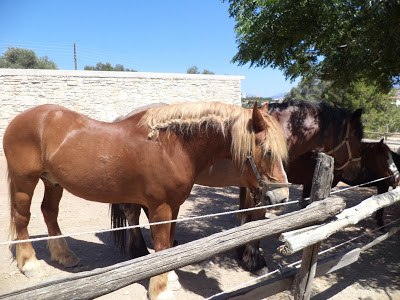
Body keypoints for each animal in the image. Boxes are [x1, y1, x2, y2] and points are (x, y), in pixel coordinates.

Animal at [3, 101, 290, 300]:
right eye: (267, 151)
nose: (281, 196)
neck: (171, 146)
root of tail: (18, 120)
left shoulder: (174, 206)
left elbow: (170, 245)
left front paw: (169, 278)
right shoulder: (159, 207)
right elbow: (161, 246)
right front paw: (161, 289)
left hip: (52, 181)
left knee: (49, 212)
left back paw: (63, 255)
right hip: (25, 180)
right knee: (22, 217)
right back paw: (30, 264)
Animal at [111, 99, 364, 274]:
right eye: (356, 138)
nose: (356, 172)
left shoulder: (252, 186)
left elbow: (246, 217)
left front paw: (241, 251)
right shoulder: (263, 189)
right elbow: (256, 218)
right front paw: (255, 260)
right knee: (132, 213)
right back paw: (138, 251)